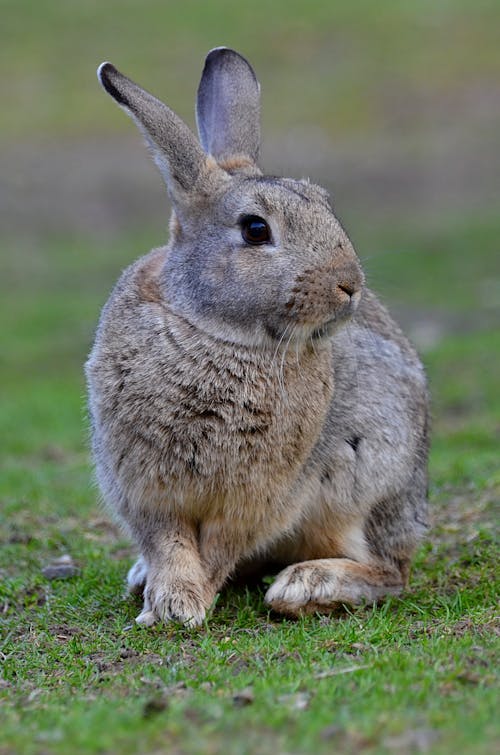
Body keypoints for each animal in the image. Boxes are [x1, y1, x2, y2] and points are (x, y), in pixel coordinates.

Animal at [86, 45, 430, 628]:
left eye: (324, 204)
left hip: (367, 480)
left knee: (390, 573)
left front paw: (185, 604)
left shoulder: (257, 495)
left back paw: (305, 586)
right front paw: (170, 601)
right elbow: (167, 541)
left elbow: (220, 547)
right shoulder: (146, 488)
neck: (215, 331)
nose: (350, 284)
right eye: (255, 230)